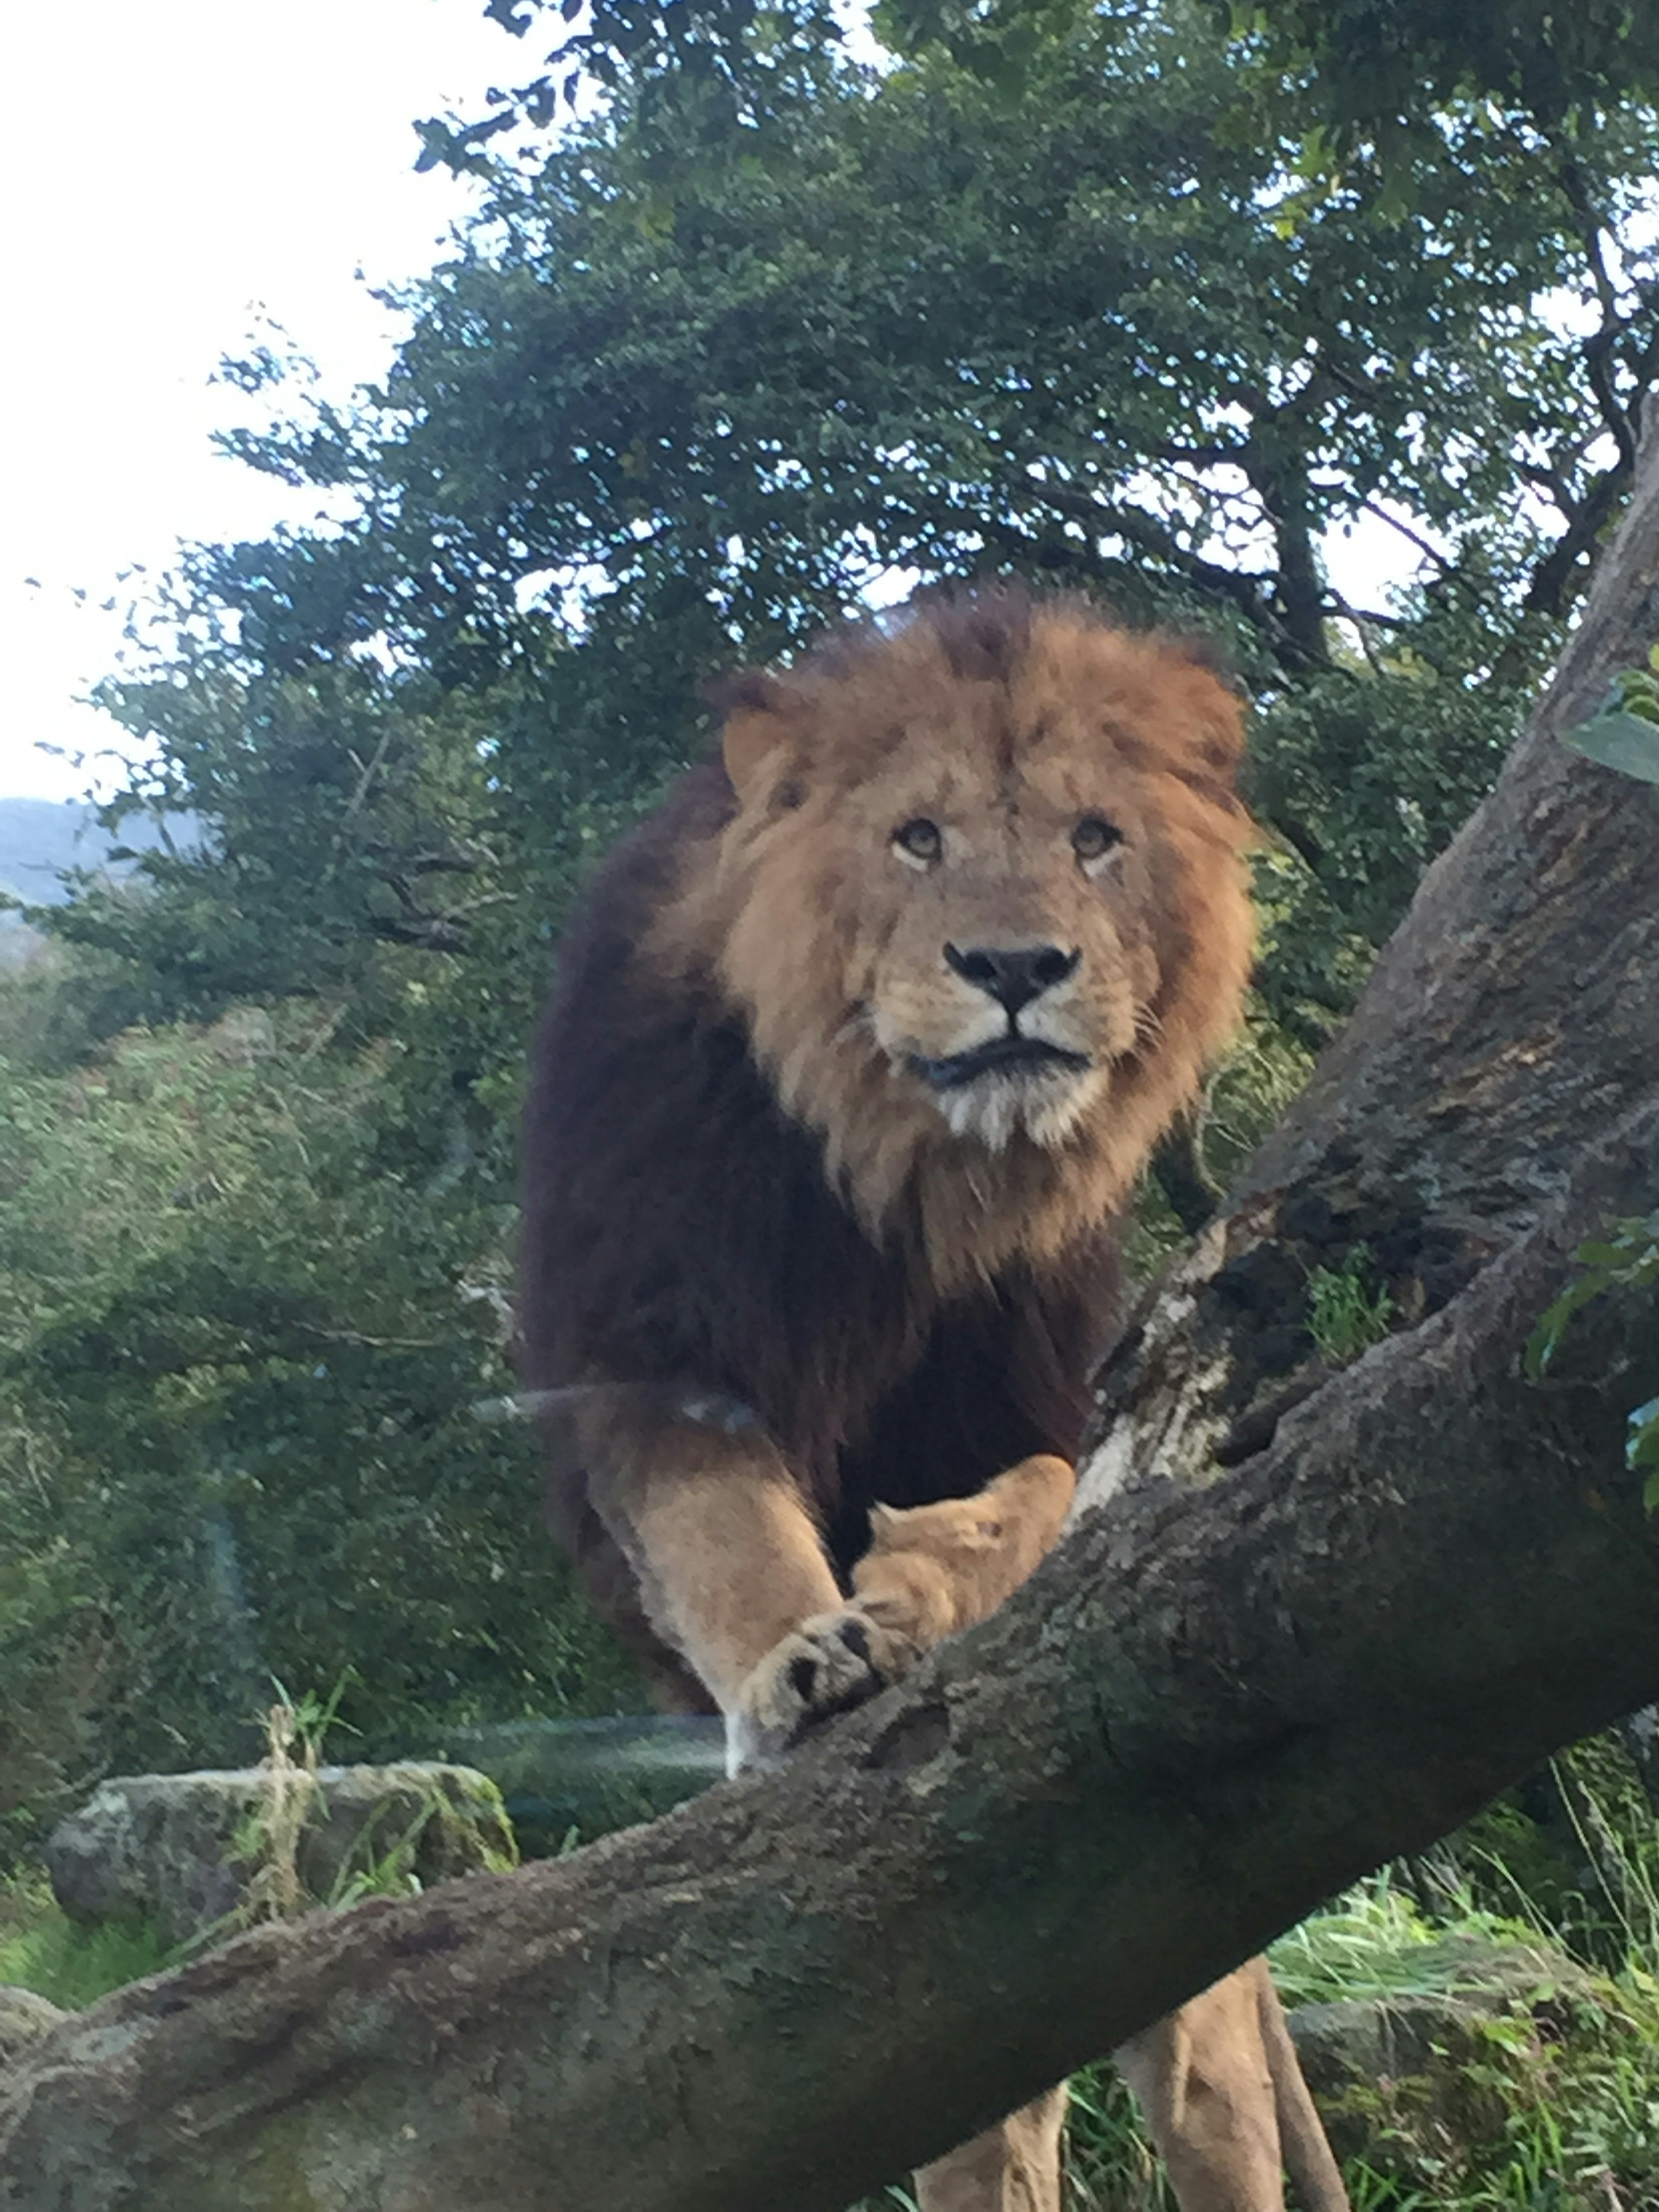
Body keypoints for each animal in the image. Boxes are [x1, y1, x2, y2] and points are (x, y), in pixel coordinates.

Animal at [520, 584, 1354, 2212]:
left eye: (1094, 835)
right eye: (916, 837)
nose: (1016, 966)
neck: (906, 1172)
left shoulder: (1055, 1374)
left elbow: (1033, 1493)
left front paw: (916, 1581)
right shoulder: (652, 1337)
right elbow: (719, 1533)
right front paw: (808, 1656)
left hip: (1178, 1995)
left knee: (1212, 2113)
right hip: (960, 1982)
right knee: (982, 2110)